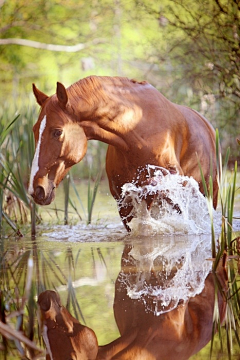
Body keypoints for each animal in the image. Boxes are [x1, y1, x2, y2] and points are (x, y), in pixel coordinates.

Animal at [28, 76, 218, 231]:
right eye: (34, 130)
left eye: (57, 132)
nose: (36, 189)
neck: (136, 134)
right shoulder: (122, 207)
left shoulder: (174, 177)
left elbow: (150, 187)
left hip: (211, 194)